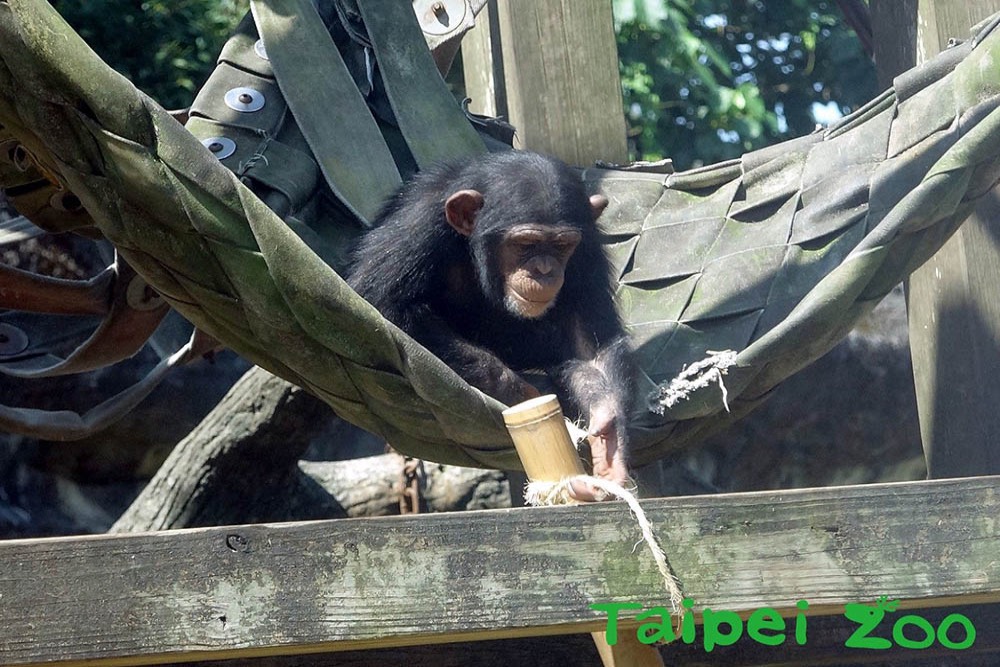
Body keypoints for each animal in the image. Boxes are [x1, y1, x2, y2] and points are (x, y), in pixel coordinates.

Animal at [348, 153, 636, 496]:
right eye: (525, 243)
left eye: (563, 245)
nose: (544, 270)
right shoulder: (417, 227)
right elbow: (381, 303)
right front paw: (516, 389)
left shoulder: (587, 244)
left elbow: (589, 348)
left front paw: (609, 437)